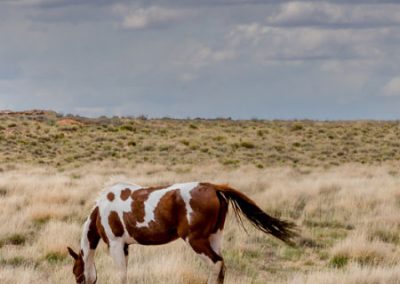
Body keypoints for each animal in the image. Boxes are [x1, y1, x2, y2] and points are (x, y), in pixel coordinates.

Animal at [67, 182, 296, 284]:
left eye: (76, 274)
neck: (102, 209)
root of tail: (213, 187)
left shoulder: (115, 245)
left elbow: (121, 275)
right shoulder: (124, 247)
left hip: (196, 241)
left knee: (216, 264)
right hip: (214, 237)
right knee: (221, 266)